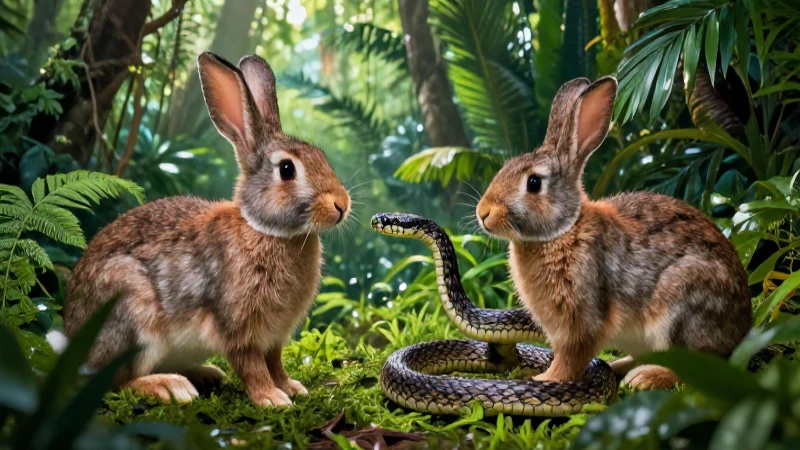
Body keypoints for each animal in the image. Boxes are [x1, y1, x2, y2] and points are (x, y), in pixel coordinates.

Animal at [51, 52, 351, 407]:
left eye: (321, 156)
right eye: (287, 169)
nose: (341, 204)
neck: (267, 231)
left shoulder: (275, 336)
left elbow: (275, 362)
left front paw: (291, 387)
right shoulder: (238, 327)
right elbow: (252, 366)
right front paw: (271, 399)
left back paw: (205, 373)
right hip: (130, 315)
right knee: (115, 381)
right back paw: (170, 386)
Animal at [474, 76, 751, 390]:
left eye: (533, 183)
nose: (483, 212)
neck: (563, 230)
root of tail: (742, 329)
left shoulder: (582, 318)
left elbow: (571, 357)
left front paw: (546, 378)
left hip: (683, 304)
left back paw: (644, 378)